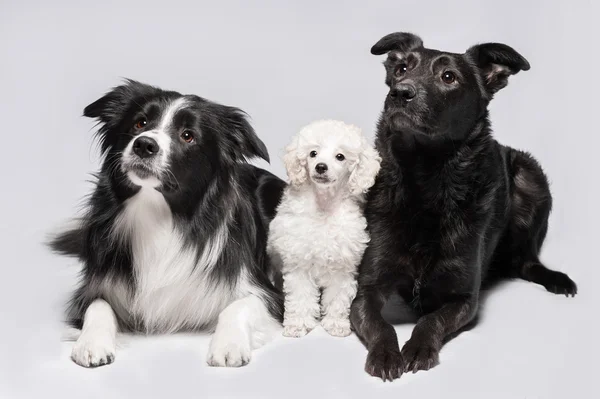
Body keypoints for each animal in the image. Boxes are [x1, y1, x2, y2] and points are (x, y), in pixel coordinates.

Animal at [51, 80, 286, 368]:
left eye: (188, 135)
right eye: (140, 123)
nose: (144, 145)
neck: (160, 214)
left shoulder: (265, 294)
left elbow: (238, 307)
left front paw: (228, 345)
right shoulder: (94, 286)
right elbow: (98, 305)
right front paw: (92, 342)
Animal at [350, 33, 580, 382]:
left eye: (449, 77)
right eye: (402, 69)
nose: (400, 91)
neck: (425, 180)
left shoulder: (464, 299)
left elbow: (430, 320)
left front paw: (418, 348)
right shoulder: (366, 292)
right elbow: (380, 324)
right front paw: (387, 353)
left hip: (531, 176)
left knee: (526, 262)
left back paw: (556, 278)